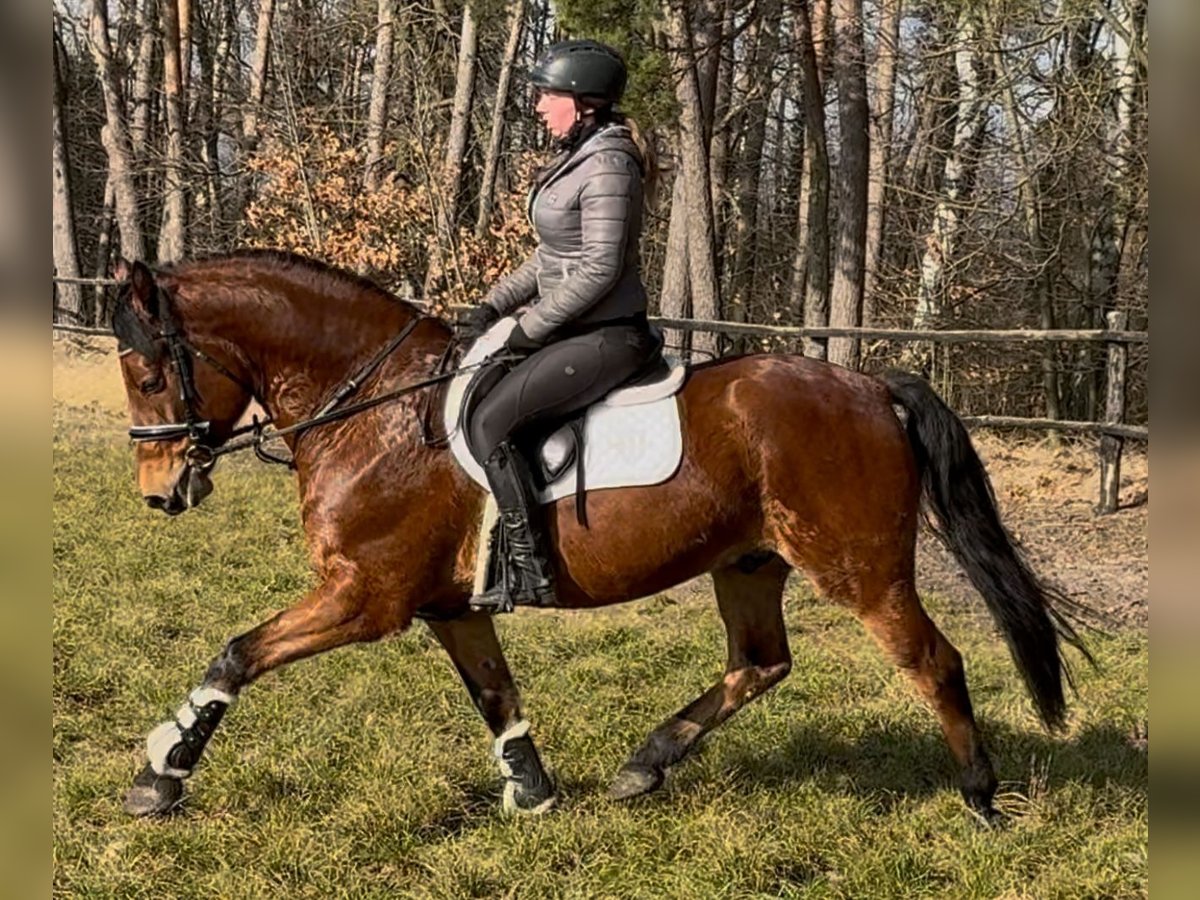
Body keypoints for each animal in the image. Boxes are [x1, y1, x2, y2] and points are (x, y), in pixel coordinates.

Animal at [110, 252, 1089, 825]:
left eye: (151, 372)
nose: (160, 494)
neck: (375, 405)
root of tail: (870, 386)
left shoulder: (365, 597)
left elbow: (237, 653)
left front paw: (161, 775)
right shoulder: (447, 605)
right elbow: (496, 694)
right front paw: (535, 794)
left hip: (860, 569)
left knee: (933, 662)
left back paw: (981, 799)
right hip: (748, 562)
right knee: (760, 663)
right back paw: (643, 768)